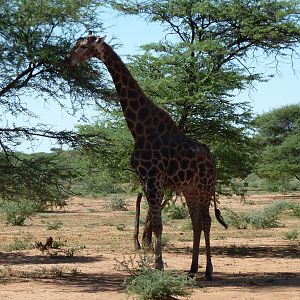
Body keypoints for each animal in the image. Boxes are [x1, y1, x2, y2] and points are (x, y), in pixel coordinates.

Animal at [67, 33, 227, 282]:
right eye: (76, 44)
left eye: (83, 46)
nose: (67, 60)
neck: (139, 128)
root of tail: (213, 161)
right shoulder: (144, 179)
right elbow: (154, 222)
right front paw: (156, 266)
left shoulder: (153, 178)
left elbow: (158, 225)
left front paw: (158, 267)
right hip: (189, 187)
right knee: (196, 222)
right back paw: (192, 270)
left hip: (204, 186)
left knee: (206, 221)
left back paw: (208, 271)